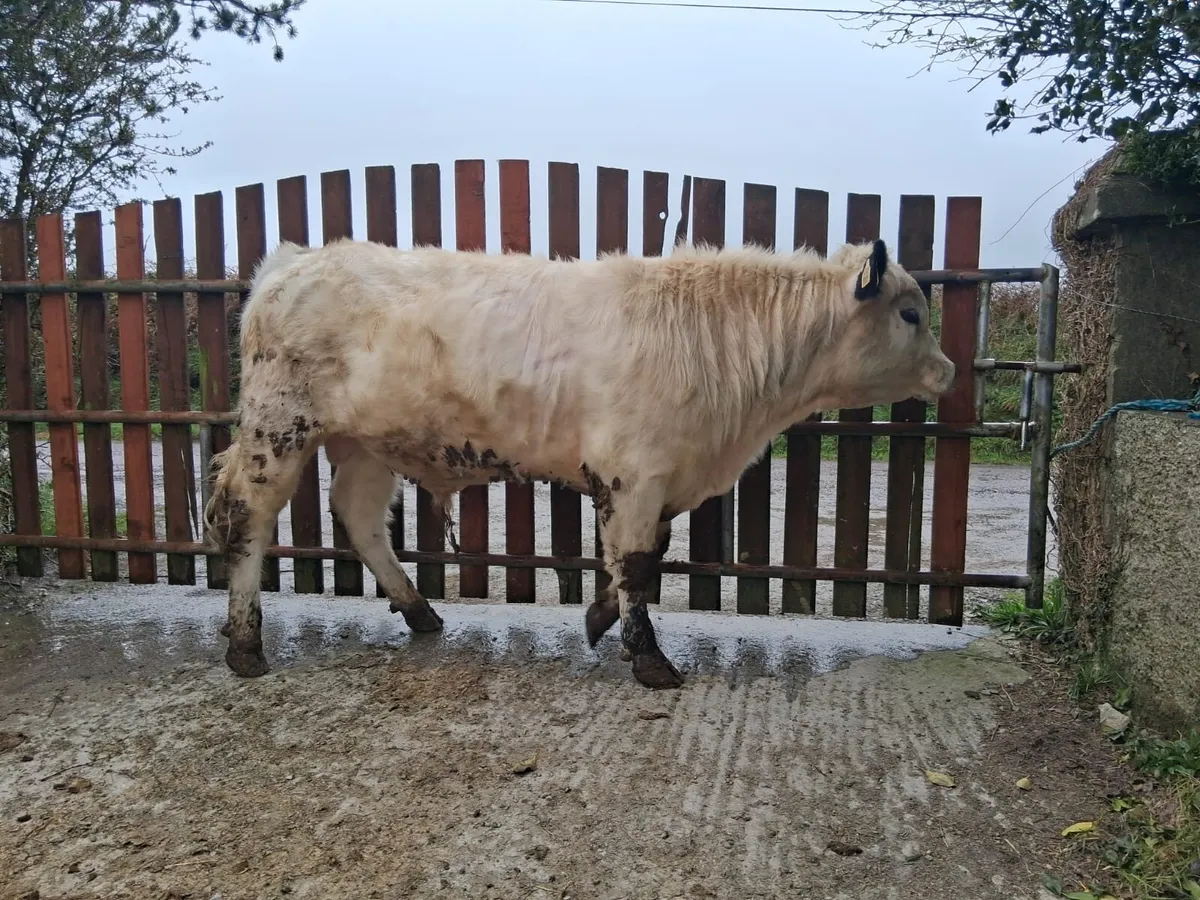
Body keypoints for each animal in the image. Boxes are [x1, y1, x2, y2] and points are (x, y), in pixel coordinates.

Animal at [203, 235, 955, 690]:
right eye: (911, 313)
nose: (949, 371)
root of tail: (295, 261)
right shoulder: (635, 473)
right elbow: (637, 563)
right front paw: (649, 658)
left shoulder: (653, 480)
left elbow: (638, 558)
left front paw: (598, 619)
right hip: (278, 427)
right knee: (245, 515)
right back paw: (245, 645)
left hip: (366, 443)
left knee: (358, 516)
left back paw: (418, 610)